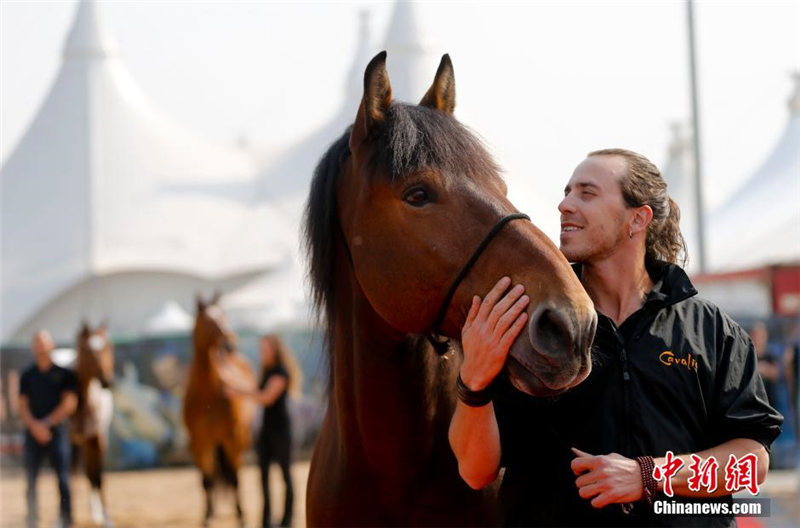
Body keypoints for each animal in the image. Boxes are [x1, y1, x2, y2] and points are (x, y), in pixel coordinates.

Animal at [183, 294, 255, 524]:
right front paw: (208, 516)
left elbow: (233, 477)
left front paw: (241, 516)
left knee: (235, 471)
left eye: (224, 315)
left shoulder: (231, 437)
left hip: (240, 437)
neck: (208, 393)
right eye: (207, 320)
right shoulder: (200, 442)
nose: (230, 342)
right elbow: (207, 480)